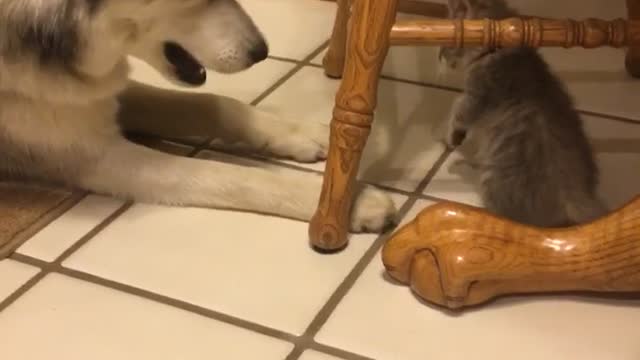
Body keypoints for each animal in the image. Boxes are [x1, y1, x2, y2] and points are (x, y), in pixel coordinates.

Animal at [0, 1, 398, 232]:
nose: (261, 52)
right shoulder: (90, 153)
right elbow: (228, 174)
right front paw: (349, 201)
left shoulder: (99, 97)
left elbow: (212, 104)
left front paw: (299, 133)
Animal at [438, 0, 608, 226]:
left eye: (446, 43)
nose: (438, 57)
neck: (495, 49)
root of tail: (578, 193)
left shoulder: (477, 97)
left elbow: (457, 111)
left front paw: (450, 137)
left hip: (495, 179)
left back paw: (465, 171)